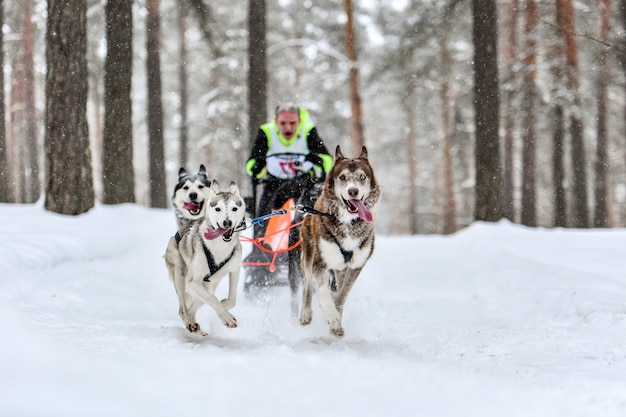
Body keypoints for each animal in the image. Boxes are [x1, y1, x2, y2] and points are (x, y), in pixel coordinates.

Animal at [163, 179, 244, 334]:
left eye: (234, 209)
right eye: (218, 209)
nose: (227, 222)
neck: (219, 246)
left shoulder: (235, 269)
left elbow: (232, 299)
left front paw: (225, 304)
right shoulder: (193, 282)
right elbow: (212, 300)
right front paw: (226, 317)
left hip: (208, 285)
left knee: (193, 309)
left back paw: (195, 327)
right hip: (181, 276)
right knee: (183, 310)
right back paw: (190, 324)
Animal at [298, 145, 380, 336]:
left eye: (362, 177)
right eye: (342, 177)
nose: (353, 191)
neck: (348, 224)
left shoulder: (356, 265)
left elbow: (342, 295)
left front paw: (336, 320)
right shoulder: (319, 262)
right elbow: (322, 291)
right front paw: (331, 316)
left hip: (341, 268)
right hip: (308, 254)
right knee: (307, 285)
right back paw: (306, 313)